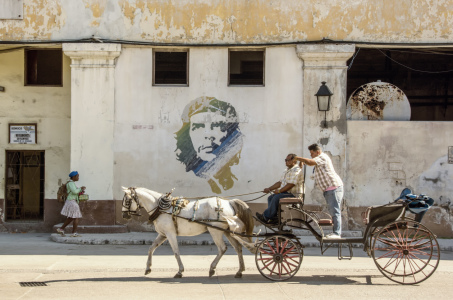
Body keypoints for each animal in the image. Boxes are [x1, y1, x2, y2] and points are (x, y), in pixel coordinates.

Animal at [120, 188, 254, 278]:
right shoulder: (163, 234)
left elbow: (176, 252)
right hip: (227, 231)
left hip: (215, 230)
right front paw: (148, 268)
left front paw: (180, 271)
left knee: (222, 248)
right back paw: (239, 271)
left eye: (127, 200)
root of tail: (229, 202)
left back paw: (212, 268)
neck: (161, 209)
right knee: (238, 247)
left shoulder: (170, 234)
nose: (124, 215)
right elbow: (151, 248)